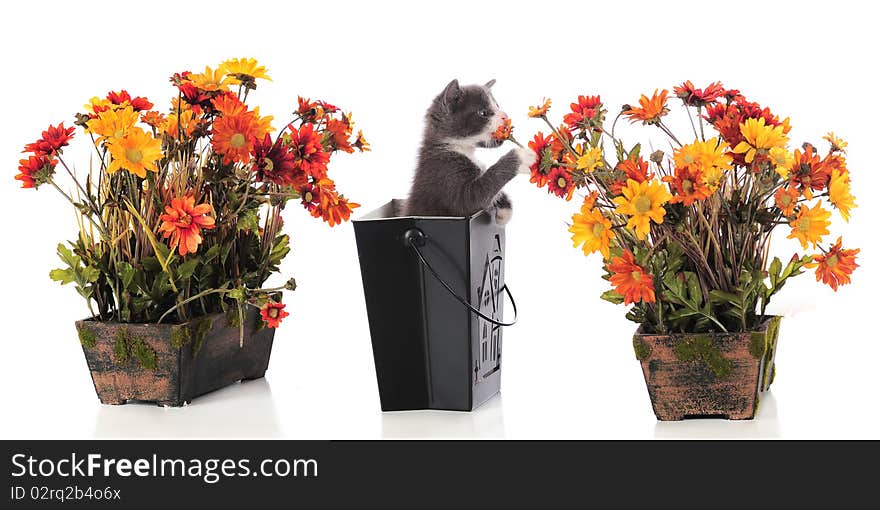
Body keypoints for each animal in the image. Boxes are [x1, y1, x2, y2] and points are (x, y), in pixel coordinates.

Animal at [402, 79, 532, 223]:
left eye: (497, 105)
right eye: (483, 113)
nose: (505, 115)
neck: (460, 148)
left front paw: (504, 209)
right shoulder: (445, 173)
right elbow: (472, 199)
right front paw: (521, 157)